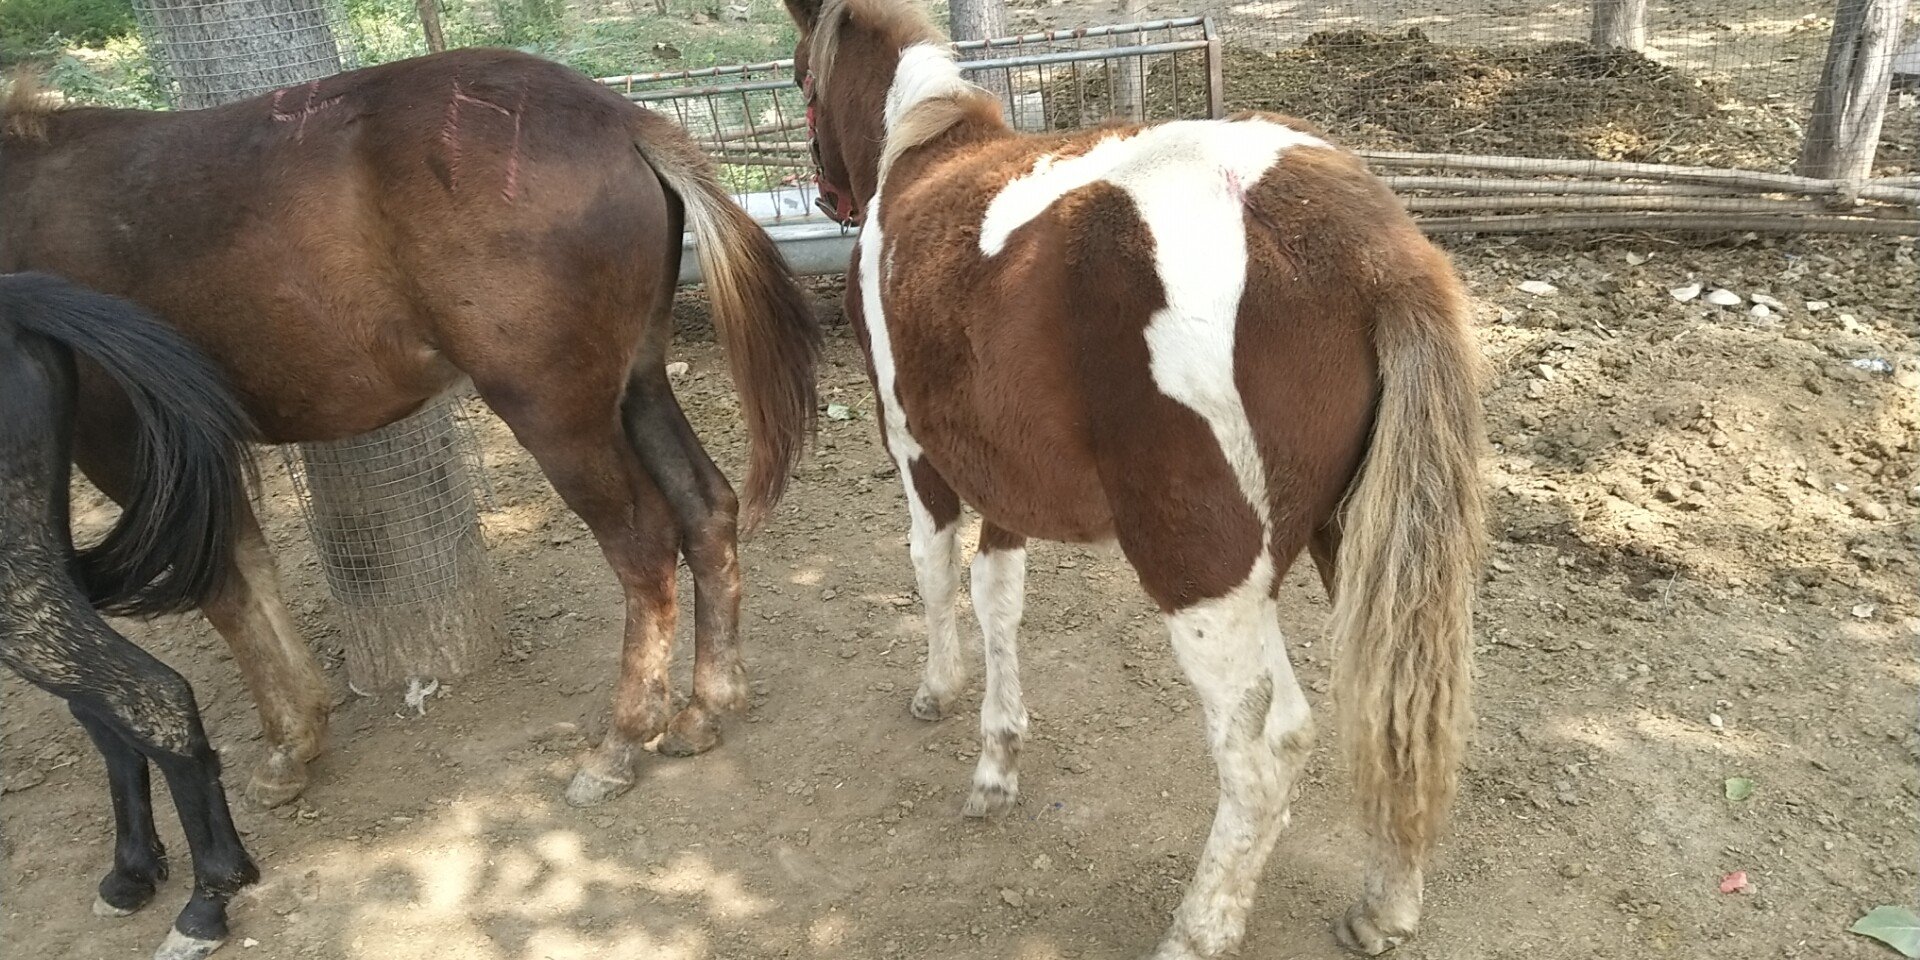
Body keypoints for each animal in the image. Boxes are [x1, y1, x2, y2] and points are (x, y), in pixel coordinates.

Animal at [1, 47, 822, 809]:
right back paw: (705, 706)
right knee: (706, 507)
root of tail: (621, 120)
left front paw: (286, 740)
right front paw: (298, 732)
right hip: (635, 385)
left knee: (646, 545)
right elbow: (250, 564)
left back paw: (621, 740)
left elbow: (224, 589)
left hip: (556, 413)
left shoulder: (126, 442)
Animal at [783, 1, 1488, 955]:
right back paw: (1387, 904)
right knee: (1396, 706)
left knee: (1264, 748)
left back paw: (1199, 927)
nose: (828, 197)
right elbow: (997, 594)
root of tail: (1373, 254)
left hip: (1202, 574)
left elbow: (933, 576)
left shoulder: (919, 456)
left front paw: (941, 693)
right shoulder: (1006, 478)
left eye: (798, 79)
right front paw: (998, 761)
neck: (923, 149)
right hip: (1355, 546)